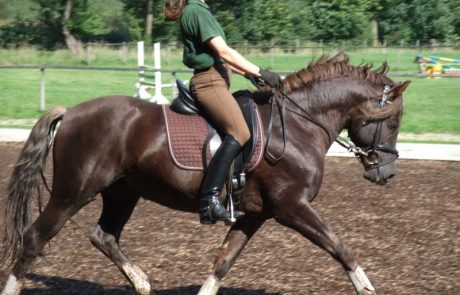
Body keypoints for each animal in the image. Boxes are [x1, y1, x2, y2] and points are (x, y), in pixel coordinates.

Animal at [0, 54, 410, 294]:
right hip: (74, 191)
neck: (297, 125)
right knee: (34, 238)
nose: (385, 173)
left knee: (104, 236)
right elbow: (339, 246)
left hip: (122, 192)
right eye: (391, 122)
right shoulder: (292, 206)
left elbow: (223, 261)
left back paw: (143, 283)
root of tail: (71, 112)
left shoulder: (255, 214)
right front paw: (366, 286)